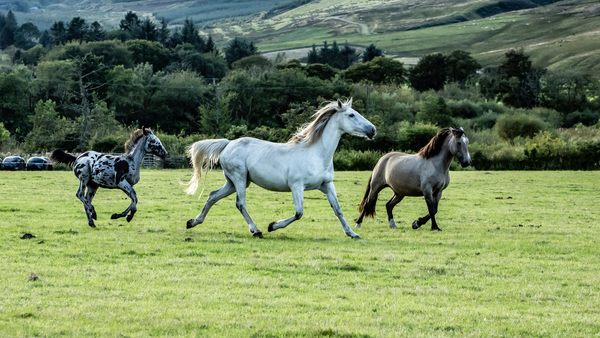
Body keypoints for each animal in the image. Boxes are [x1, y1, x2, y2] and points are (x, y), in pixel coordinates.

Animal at [185, 99, 378, 239]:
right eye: (351, 114)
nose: (373, 130)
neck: (316, 153)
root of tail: (228, 144)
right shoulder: (297, 186)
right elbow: (299, 213)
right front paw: (273, 226)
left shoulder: (327, 185)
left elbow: (338, 210)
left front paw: (352, 233)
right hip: (238, 179)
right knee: (240, 204)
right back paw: (256, 231)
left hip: (235, 182)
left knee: (212, 196)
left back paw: (193, 222)